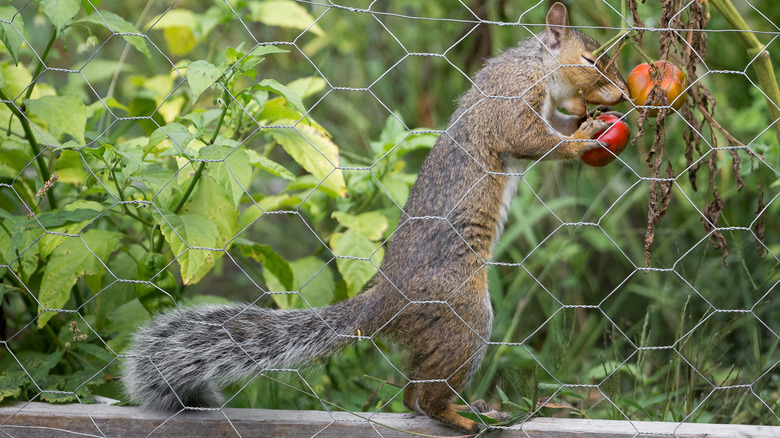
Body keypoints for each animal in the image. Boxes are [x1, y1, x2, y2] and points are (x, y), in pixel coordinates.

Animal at [125, 2, 632, 434]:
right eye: (591, 58)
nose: (624, 94)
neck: (534, 67)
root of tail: (385, 302)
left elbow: (552, 129)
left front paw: (588, 122)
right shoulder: (508, 101)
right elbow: (530, 138)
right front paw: (586, 134)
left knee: (413, 394)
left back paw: (468, 410)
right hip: (461, 318)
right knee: (425, 398)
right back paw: (465, 419)